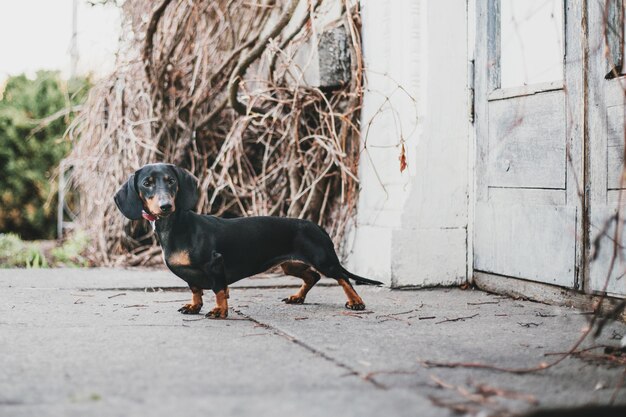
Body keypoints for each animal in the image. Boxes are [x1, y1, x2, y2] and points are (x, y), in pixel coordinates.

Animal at [114, 163, 382, 318]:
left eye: (171, 181)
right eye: (147, 183)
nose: (165, 206)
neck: (175, 227)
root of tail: (317, 227)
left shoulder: (215, 264)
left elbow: (219, 289)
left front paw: (219, 310)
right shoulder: (189, 274)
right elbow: (196, 290)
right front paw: (194, 306)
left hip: (323, 259)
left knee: (343, 277)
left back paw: (356, 302)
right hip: (289, 264)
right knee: (312, 276)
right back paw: (297, 297)